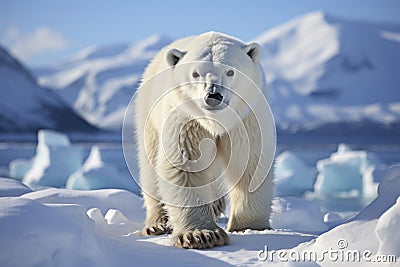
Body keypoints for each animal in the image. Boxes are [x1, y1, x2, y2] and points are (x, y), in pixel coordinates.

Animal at [134, 32, 276, 250]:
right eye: (195, 74)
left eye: (230, 71)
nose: (213, 95)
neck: (216, 122)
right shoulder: (186, 121)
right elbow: (186, 167)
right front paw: (201, 235)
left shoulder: (246, 119)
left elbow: (250, 164)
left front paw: (250, 227)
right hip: (148, 118)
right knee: (150, 171)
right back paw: (157, 224)